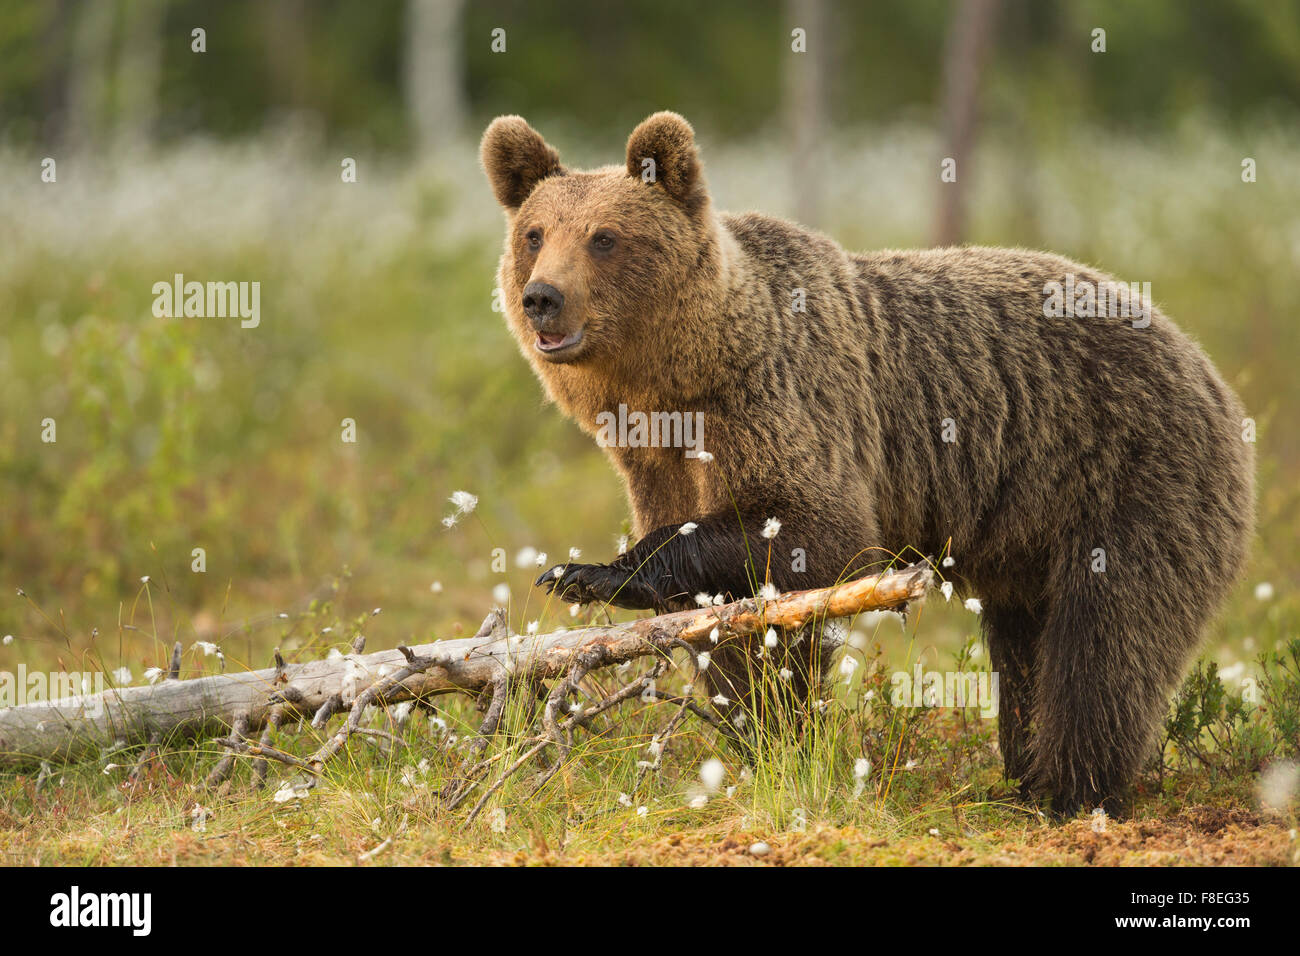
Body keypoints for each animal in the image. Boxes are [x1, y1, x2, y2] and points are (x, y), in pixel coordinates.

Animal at [480, 110, 1255, 814]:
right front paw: (770, 732)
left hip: (1128, 473)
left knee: (1105, 641)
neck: (678, 383)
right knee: (1025, 642)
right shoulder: (658, 459)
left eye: (605, 237)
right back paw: (1024, 774)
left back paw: (1071, 790)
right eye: (535, 234)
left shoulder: (784, 401)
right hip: (1030, 532)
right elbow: (737, 629)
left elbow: (818, 533)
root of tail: (1207, 367)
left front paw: (589, 572)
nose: (542, 297)